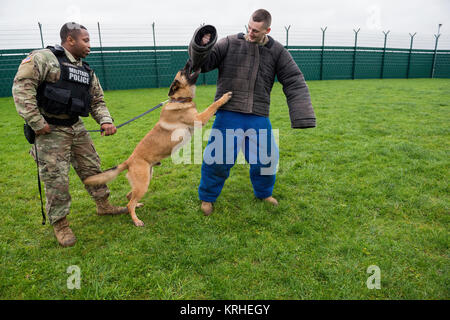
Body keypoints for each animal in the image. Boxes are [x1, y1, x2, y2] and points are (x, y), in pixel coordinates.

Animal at [83, 65, 232, 226]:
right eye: (183, 71)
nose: (189, 64)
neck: (179, 100)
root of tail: (129, 161)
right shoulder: (200, 118)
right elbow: (212, 105)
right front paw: (225, 97)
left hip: (145, 180)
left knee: (129, 197)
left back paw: (138, 205)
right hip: (143, 184)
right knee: (129, 203)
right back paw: (136, 220)